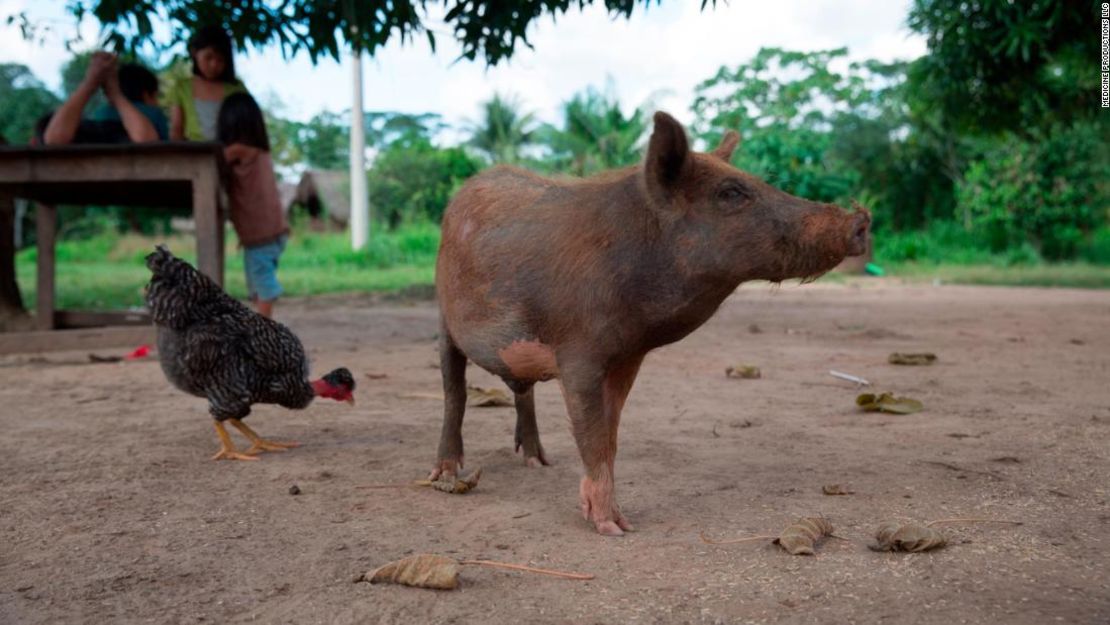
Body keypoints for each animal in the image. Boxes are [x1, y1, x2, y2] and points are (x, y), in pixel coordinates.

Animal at [428, 109, 870, 535]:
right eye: (731, 192)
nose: (861, 221)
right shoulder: (579, 353)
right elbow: (591, 434)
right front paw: (611, 529)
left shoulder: (627, 358)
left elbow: (610, 436)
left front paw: (622, 522)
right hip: (444, 316)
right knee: (454, 391)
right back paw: (445, 474)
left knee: (524, 393)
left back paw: (538, 463)